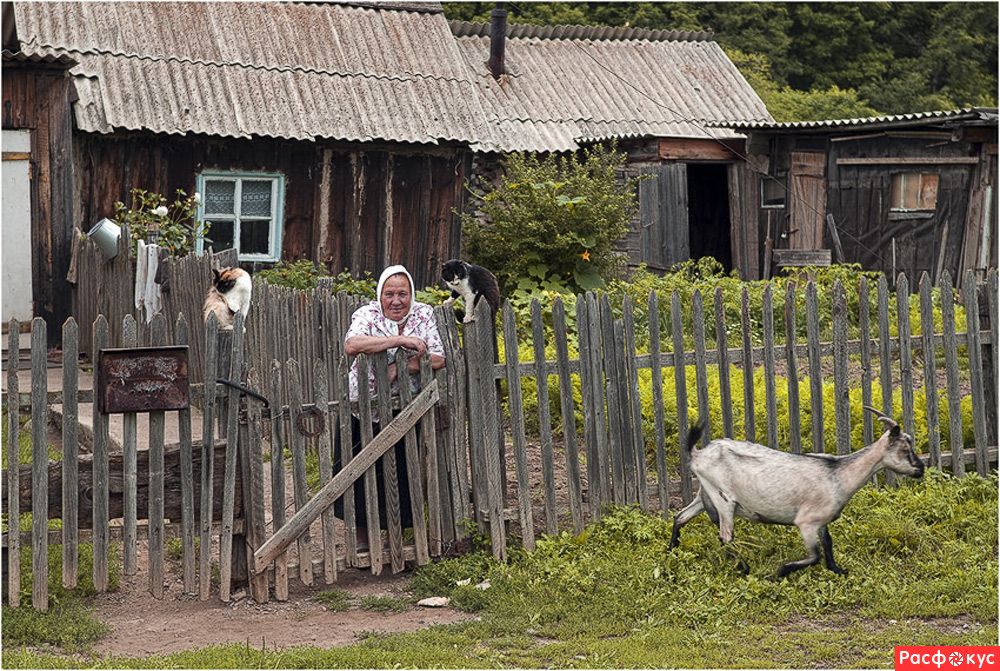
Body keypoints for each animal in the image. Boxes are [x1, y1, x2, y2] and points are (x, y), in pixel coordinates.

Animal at [668, 410, 924, 576]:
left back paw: (672, 551)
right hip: (723, 500)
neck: (838, 474)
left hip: (704, 494)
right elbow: (815, 554)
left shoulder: (821, 521)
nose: (921, 468)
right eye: (905, 449)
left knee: (680, 516)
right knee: (725, 537)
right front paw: (782, 570)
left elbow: (828, 545)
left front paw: (838, 570)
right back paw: (743, 567)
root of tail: (698, 454)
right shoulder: (806, 522)